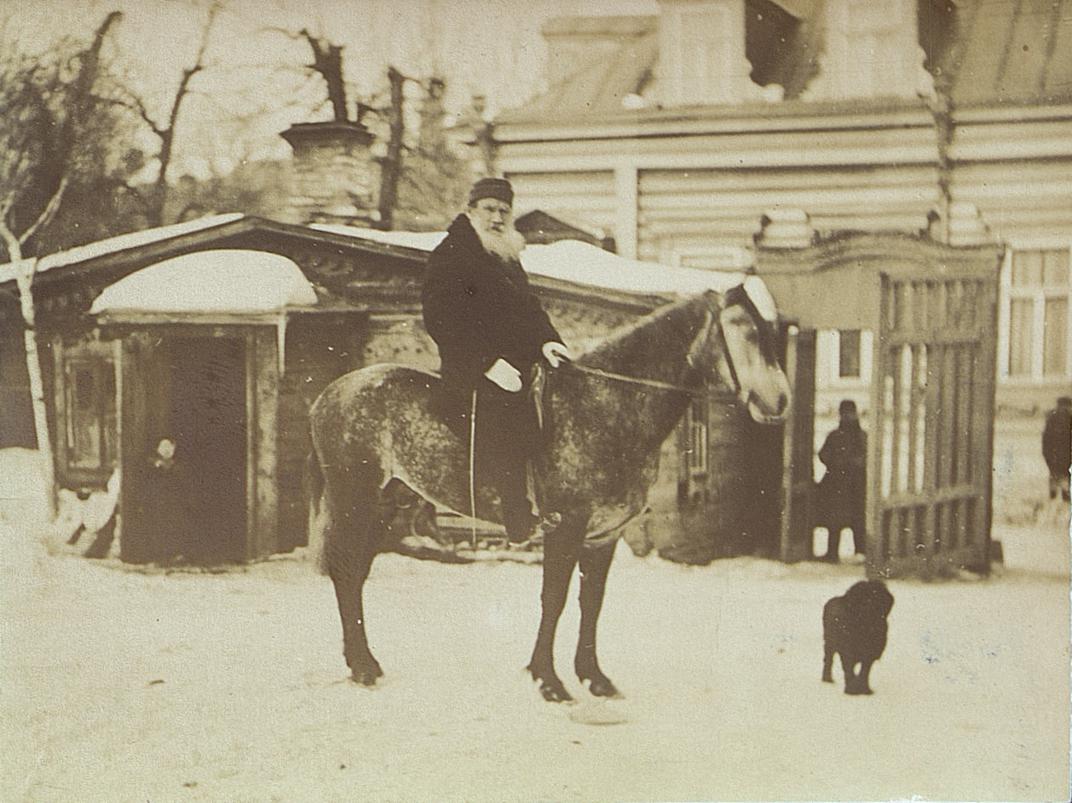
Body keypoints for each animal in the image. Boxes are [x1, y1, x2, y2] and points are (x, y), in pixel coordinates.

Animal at [306, 285, 793, 699]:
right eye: (747, 330)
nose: (781, 401)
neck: (607, 405)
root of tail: (331, 394)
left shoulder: (604, 534)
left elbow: (591, 604)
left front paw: (593, 677)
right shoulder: (567, 526)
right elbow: (554, 600)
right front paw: (548, 680)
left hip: (387, 503)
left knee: (355, 573)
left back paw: (362, 662)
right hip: (356, 500)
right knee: (346, 571)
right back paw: (363, 666)